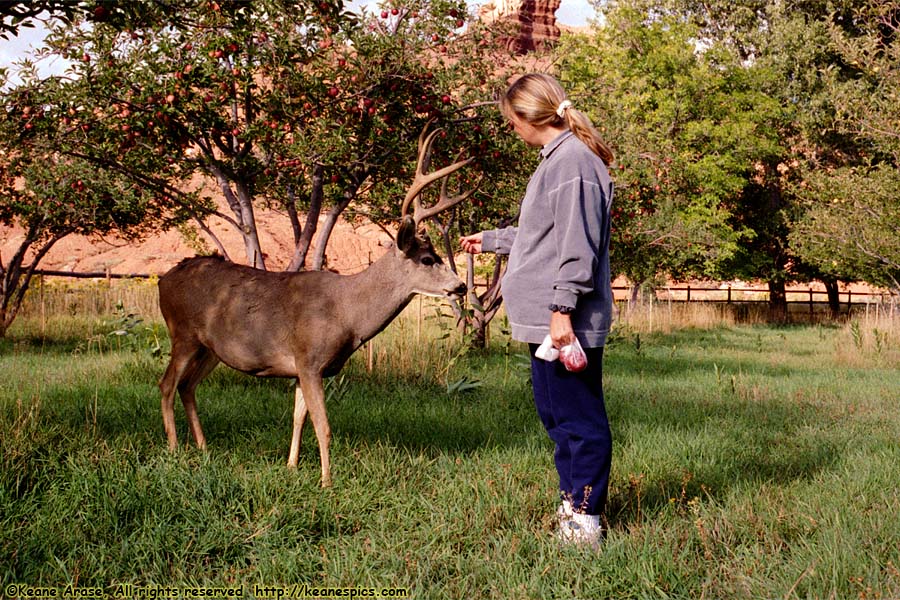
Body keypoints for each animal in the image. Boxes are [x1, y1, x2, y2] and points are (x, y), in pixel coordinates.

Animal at [156, 125, 478, 488]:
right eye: (427, 259)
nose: (461, 286)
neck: (348, 313)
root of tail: (163, 280)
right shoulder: (310, 359)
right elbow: (323, 426)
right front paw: (326, 481)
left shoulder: (301, 367)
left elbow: (298, 417)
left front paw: (291, 466)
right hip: (182, 334)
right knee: (167, 385)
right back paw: (174, 449)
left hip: (210, 348)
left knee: (187, 386)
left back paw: (203, 447)